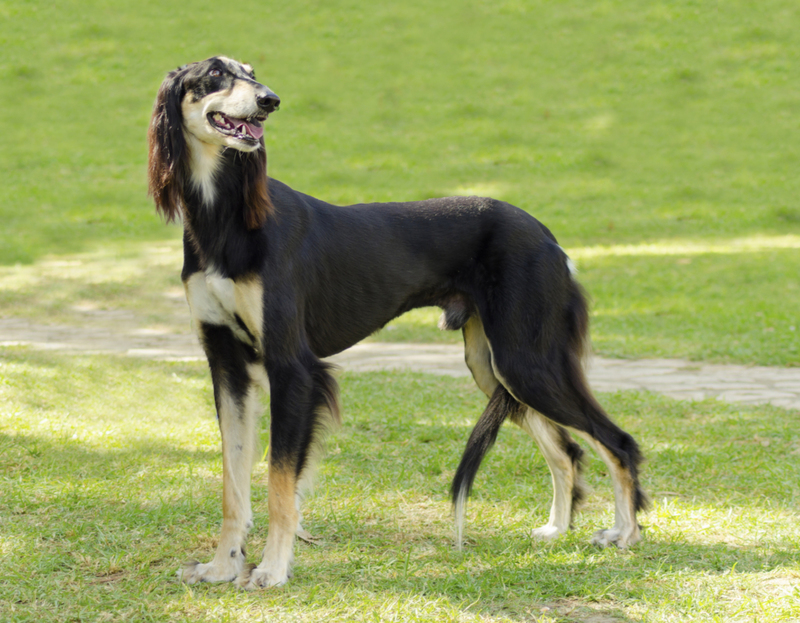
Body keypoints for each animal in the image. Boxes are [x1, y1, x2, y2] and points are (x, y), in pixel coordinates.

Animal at [147, 57, 648, 588]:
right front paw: (224, 565)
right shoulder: (227, 365)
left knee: (618, 442)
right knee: (568, 451)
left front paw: (272, 568)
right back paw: (557, 529)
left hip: (525, 360)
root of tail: (549, 237)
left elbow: (280, 482)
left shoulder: (292, 368)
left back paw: (624, 534)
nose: (270, 100)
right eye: (216, 74)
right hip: (494, 366)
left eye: (252, 72)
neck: (225, 216)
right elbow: (233, 479)